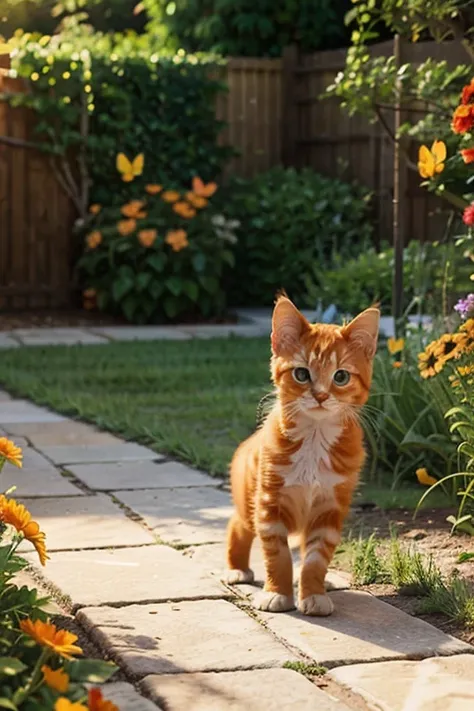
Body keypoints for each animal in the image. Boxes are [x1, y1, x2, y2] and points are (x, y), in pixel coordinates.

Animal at [224, 296, 380, 616]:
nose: (320, 395)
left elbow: (316, 558)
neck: (314, 440)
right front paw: (276, 594)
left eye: (341, 376)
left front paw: (314, 593)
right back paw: (237, 568)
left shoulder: (330, 508)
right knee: (236, 524)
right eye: (302, 374)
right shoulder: (269, 504)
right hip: (248, 501)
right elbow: (278, 556)